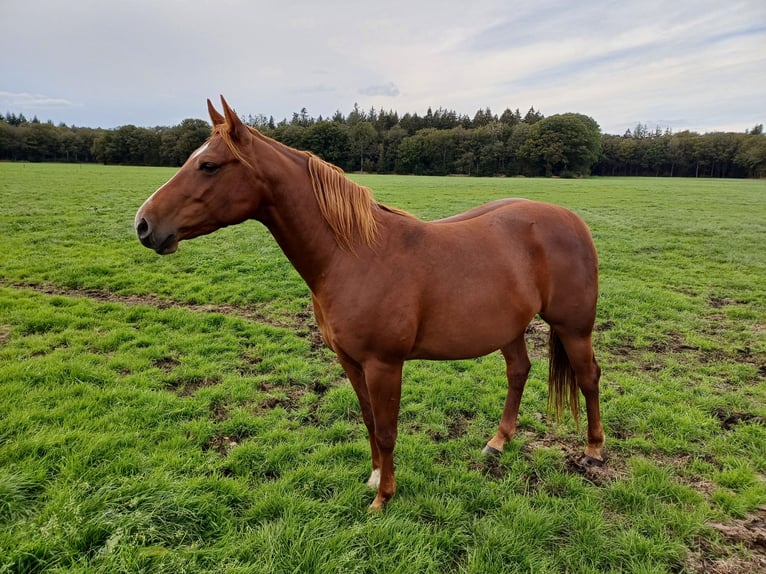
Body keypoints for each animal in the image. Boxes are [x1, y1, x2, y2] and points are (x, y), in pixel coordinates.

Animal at [136, 95, 608, 512]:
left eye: (208, 165)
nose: (144, 225)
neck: (352, 255)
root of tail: (571, 220)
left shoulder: (384, 364)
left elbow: (386, 430)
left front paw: (384, 498)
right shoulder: (350, 361)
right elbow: (368, 421)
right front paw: (376, 477)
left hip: (574, 328)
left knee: (588, 377)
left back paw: (593, 451)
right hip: (508, 327)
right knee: (519, 372)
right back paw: (498, 441)